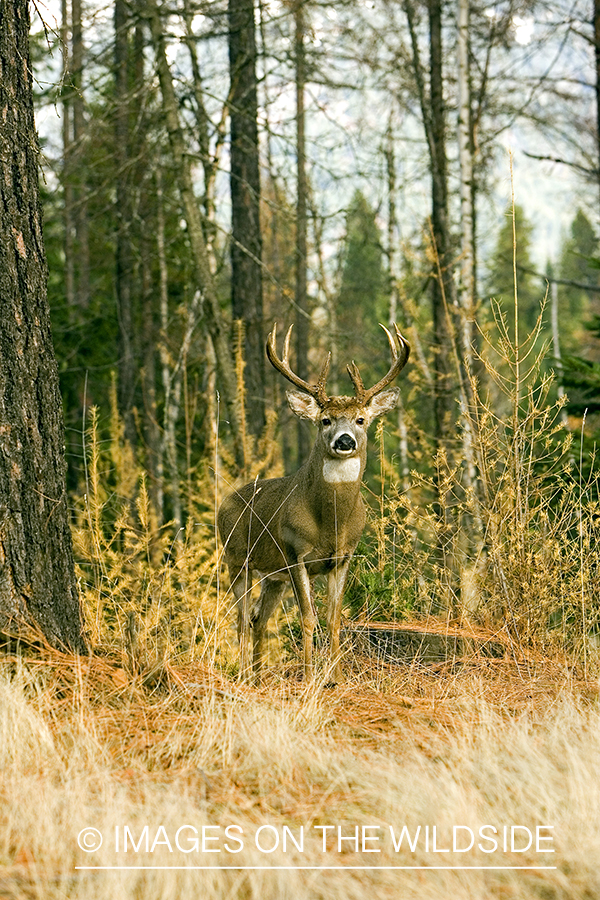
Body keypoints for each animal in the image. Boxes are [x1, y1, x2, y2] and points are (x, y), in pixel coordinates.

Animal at [218, 324, 410, 684]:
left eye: (360, 419)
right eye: (325, 420)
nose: (344, 441)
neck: (331, 523)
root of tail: (224, 503)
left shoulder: (343, 556)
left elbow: (334, 619)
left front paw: (337, 676)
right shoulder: (296, 553)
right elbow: (308, 618)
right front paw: (309, 677)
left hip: (273, 576)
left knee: (258, 618)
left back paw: (259, 674)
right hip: (236, 560)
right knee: (240, 619)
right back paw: (244, 675)